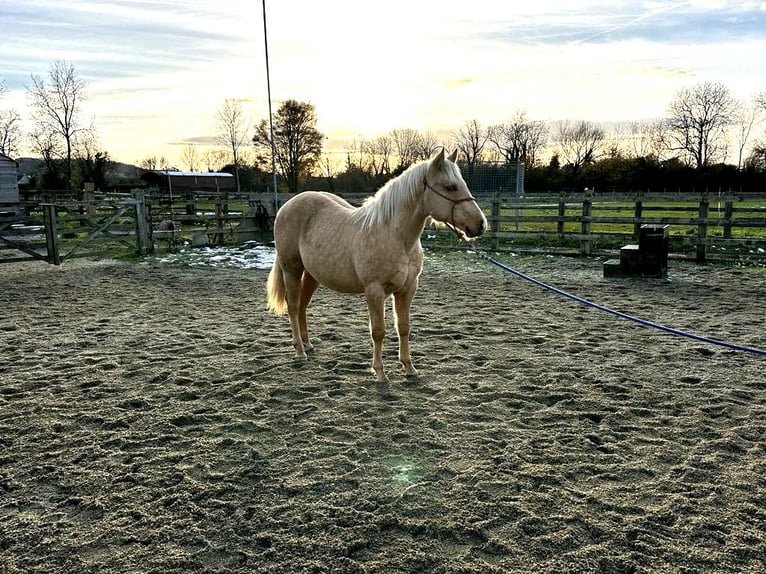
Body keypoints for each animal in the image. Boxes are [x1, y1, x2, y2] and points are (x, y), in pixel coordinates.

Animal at [268, 150, 488, 382]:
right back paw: (300, 351)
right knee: (293, 306)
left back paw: (308, 345)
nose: (481, 224)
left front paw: (409, 368)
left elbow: (403, 327)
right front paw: (380, 372)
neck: (394, 235)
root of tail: (286, 207)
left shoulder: (407, 289)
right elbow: (378, 331)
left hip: (312, 275)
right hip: (291, 269)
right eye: (450, 187)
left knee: (302, 306)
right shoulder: (374, 290)